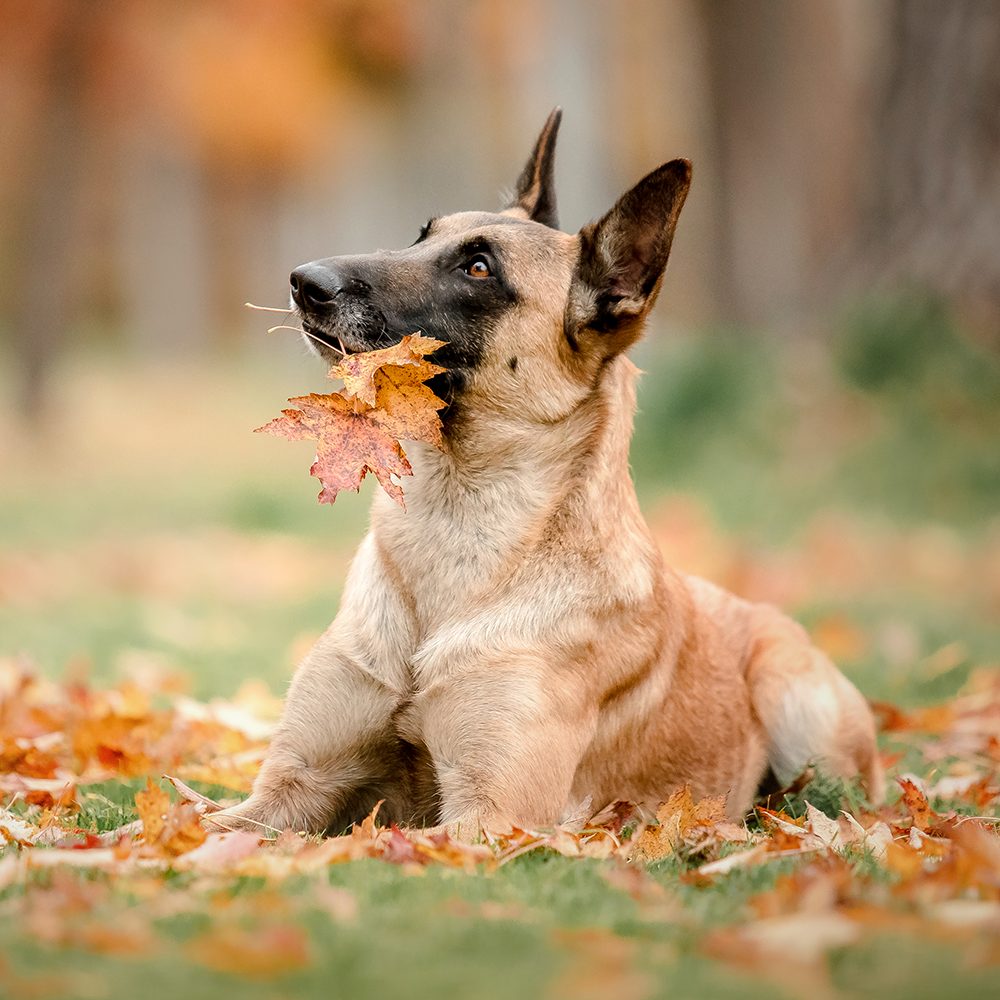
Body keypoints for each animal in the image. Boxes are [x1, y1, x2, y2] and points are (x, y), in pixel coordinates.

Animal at [219, 109, 884, 840]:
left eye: (478, 268)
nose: (304, 281)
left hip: (794, 700)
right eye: (421, 237)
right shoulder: (286, 790)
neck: (456, 524)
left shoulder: (489, 817)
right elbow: (192, 832)